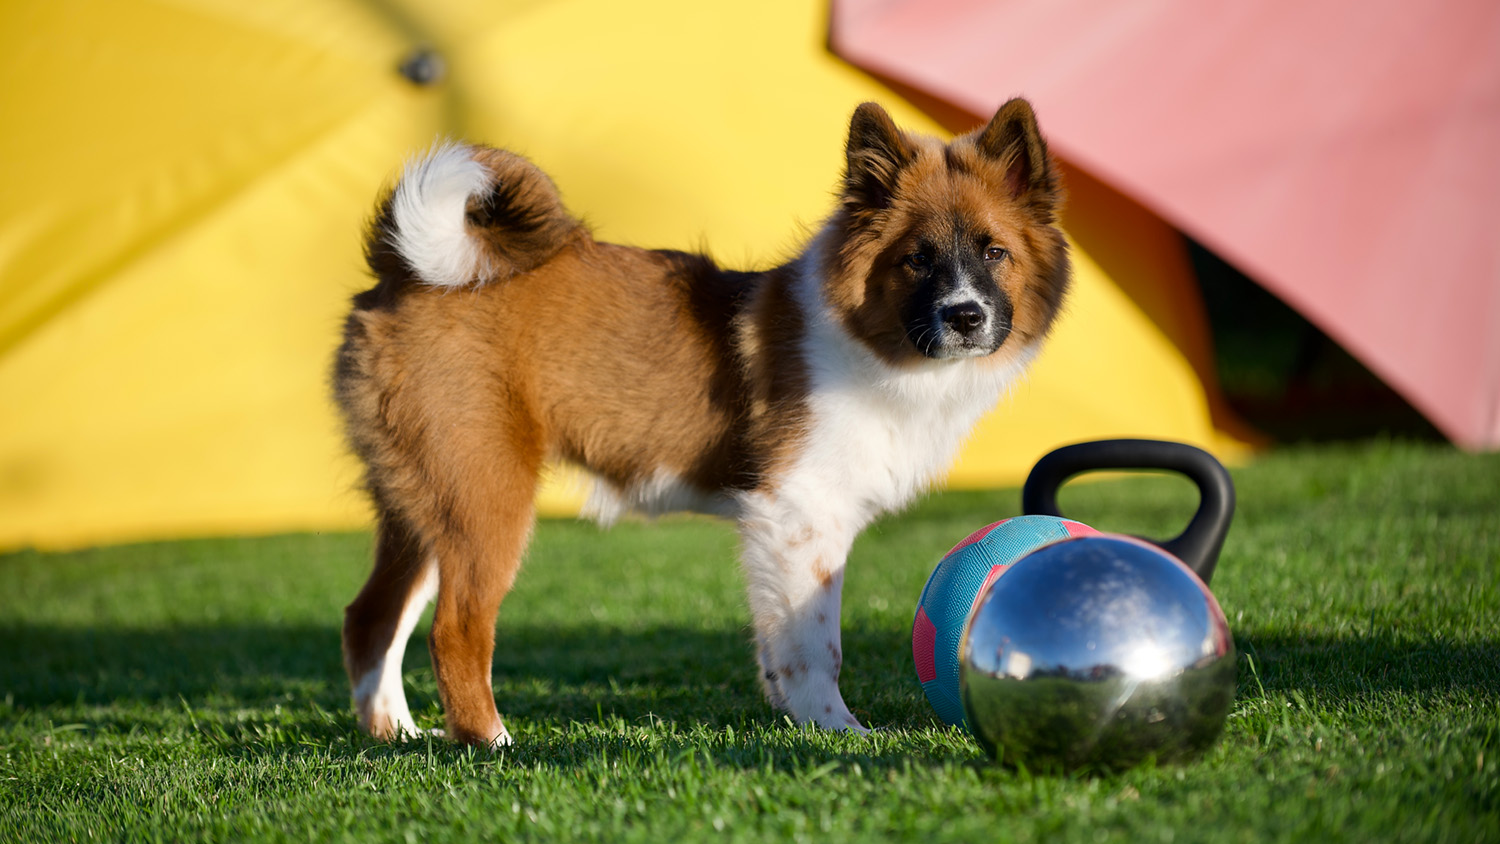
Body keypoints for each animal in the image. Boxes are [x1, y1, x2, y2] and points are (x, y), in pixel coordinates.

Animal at [336, 97, 1074, 746]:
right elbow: (815, 644)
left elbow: (779, 640)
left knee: (370, 617)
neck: (870, 340)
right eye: (917, 258)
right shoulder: (798, 512)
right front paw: (836, 729)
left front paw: (796, 718)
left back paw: (395, 732)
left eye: (995, 252)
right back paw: (491, 742)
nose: (965, 315)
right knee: (455, 631)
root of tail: (408, 269)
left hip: (422, 505)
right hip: (484, 496)